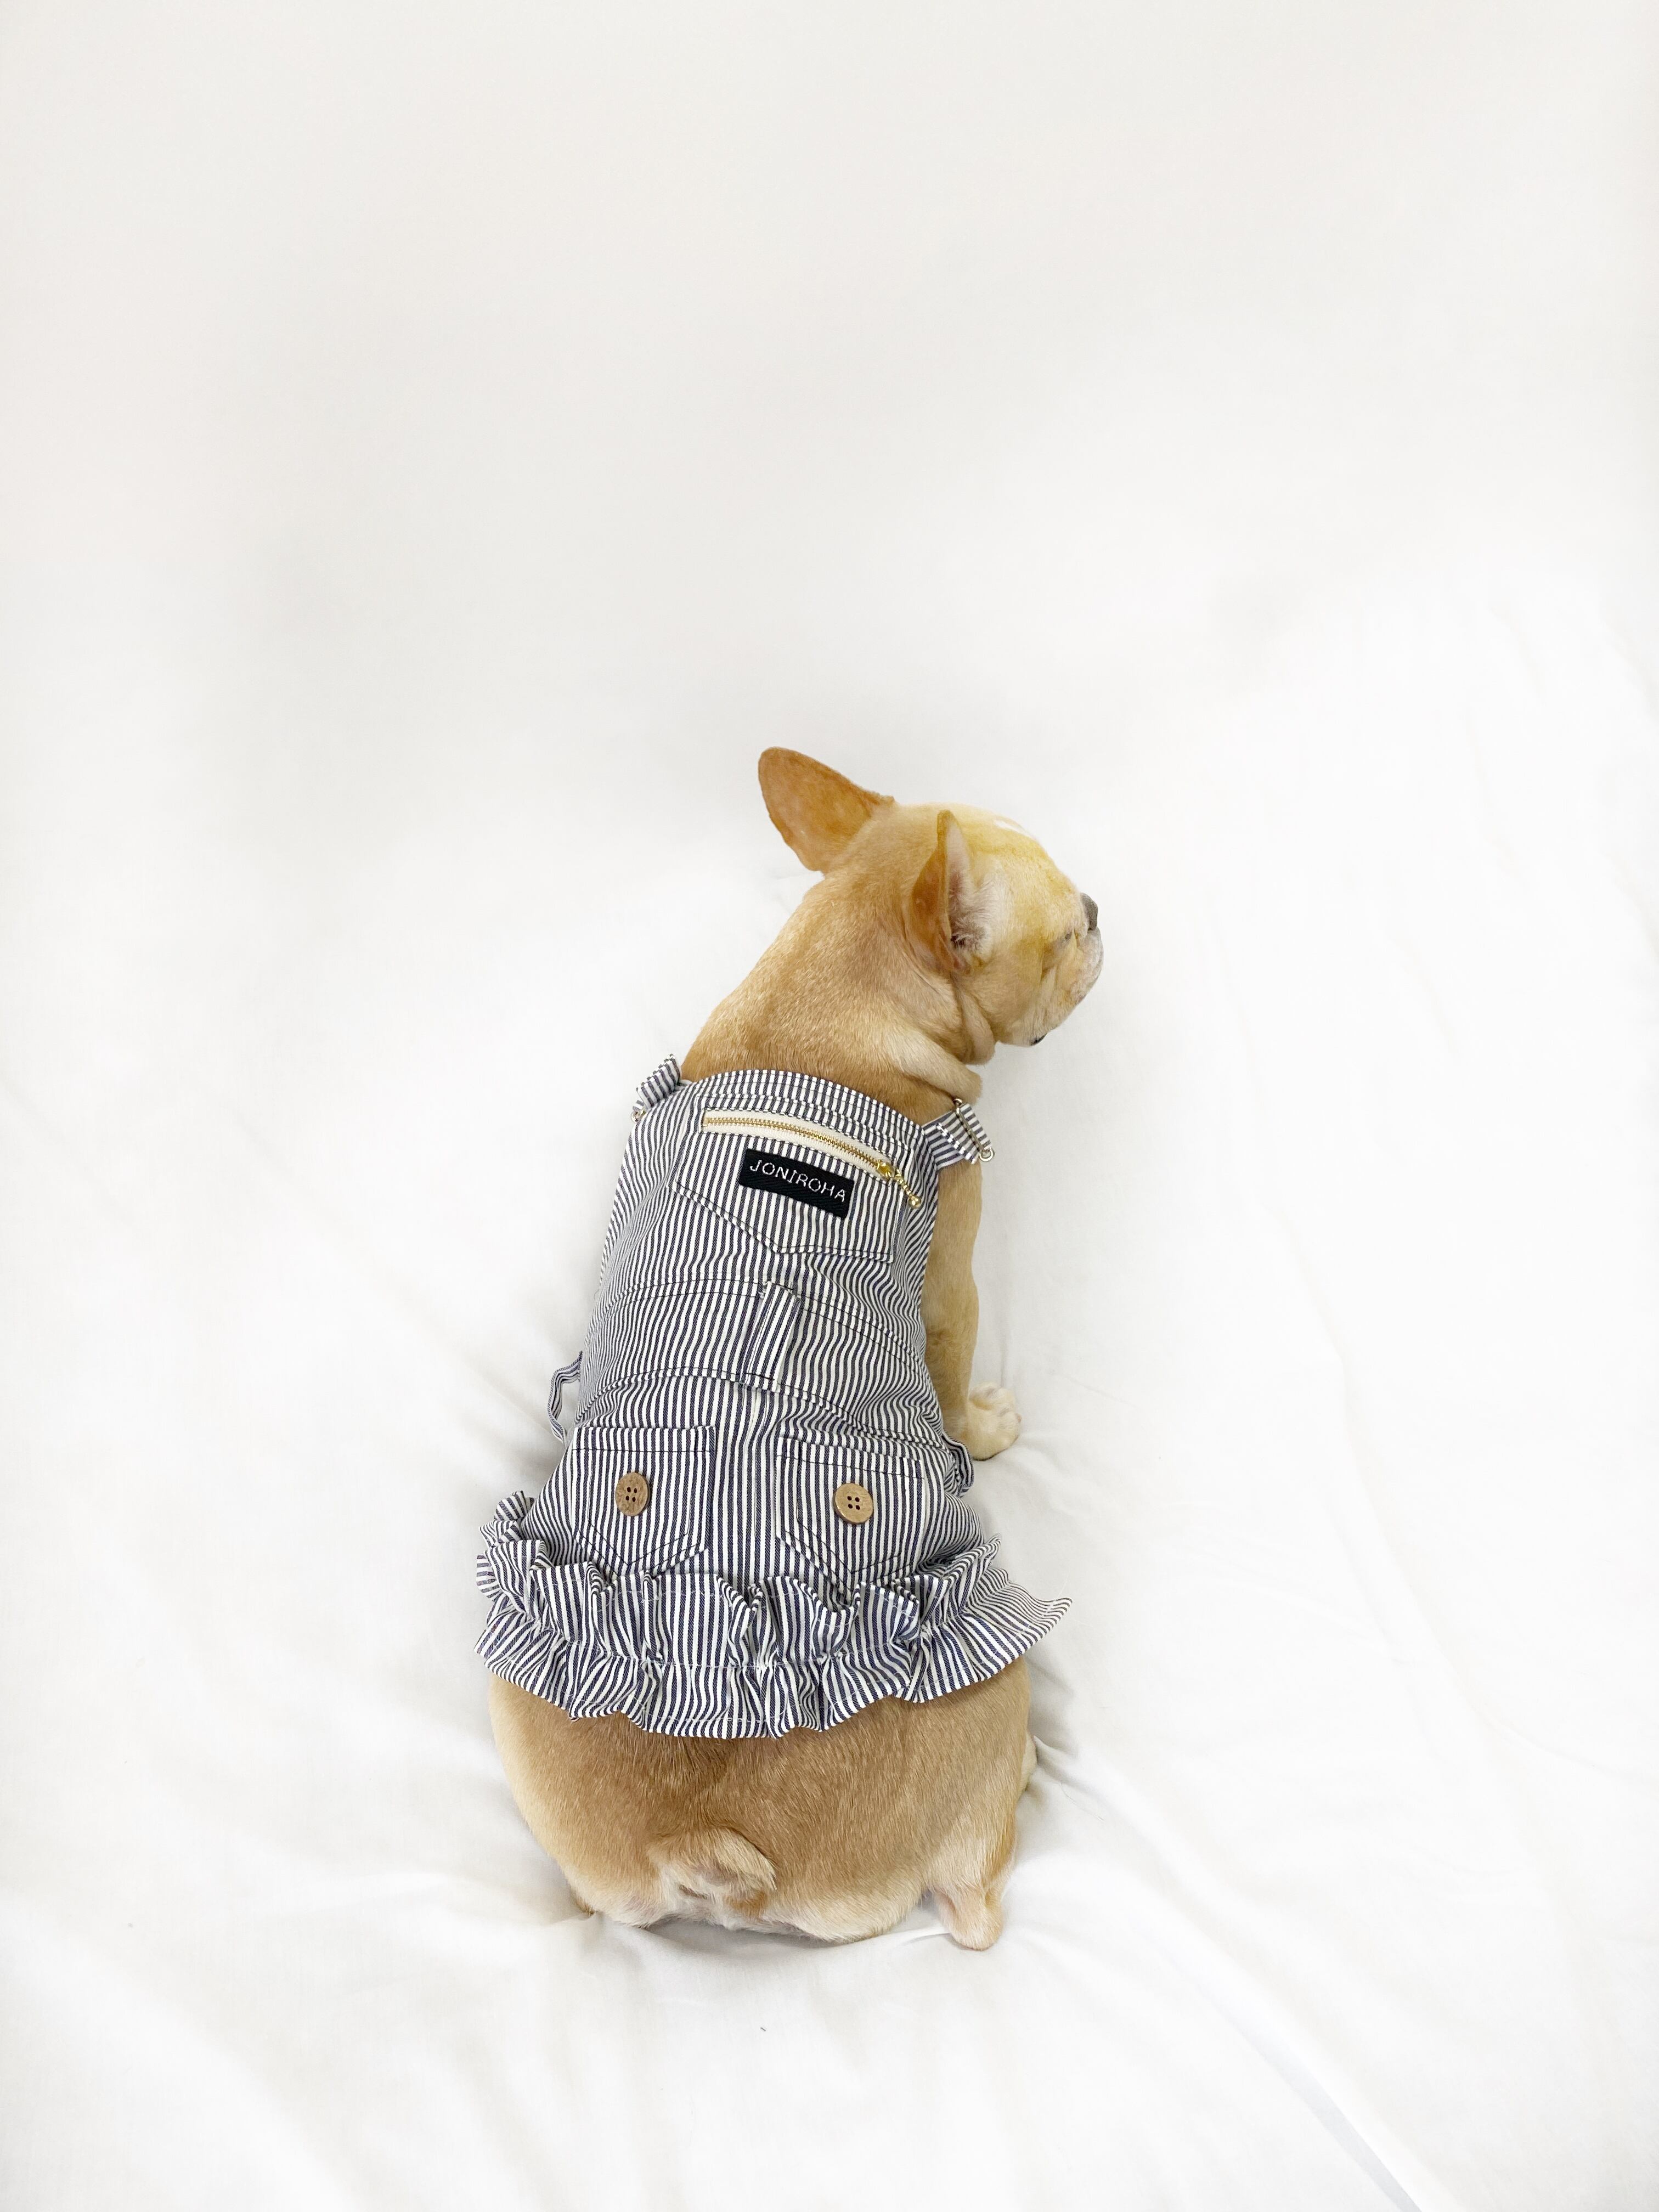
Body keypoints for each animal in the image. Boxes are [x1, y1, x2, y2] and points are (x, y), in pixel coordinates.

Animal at [483, 749, 1101, 1945]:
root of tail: (708, 1842)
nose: (1100, 910)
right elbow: (954, 1373)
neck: (829, 993)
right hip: (989, 1693)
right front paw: (986, 1427)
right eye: (1059, 939)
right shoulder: (950, 1276)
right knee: (976, 1893)